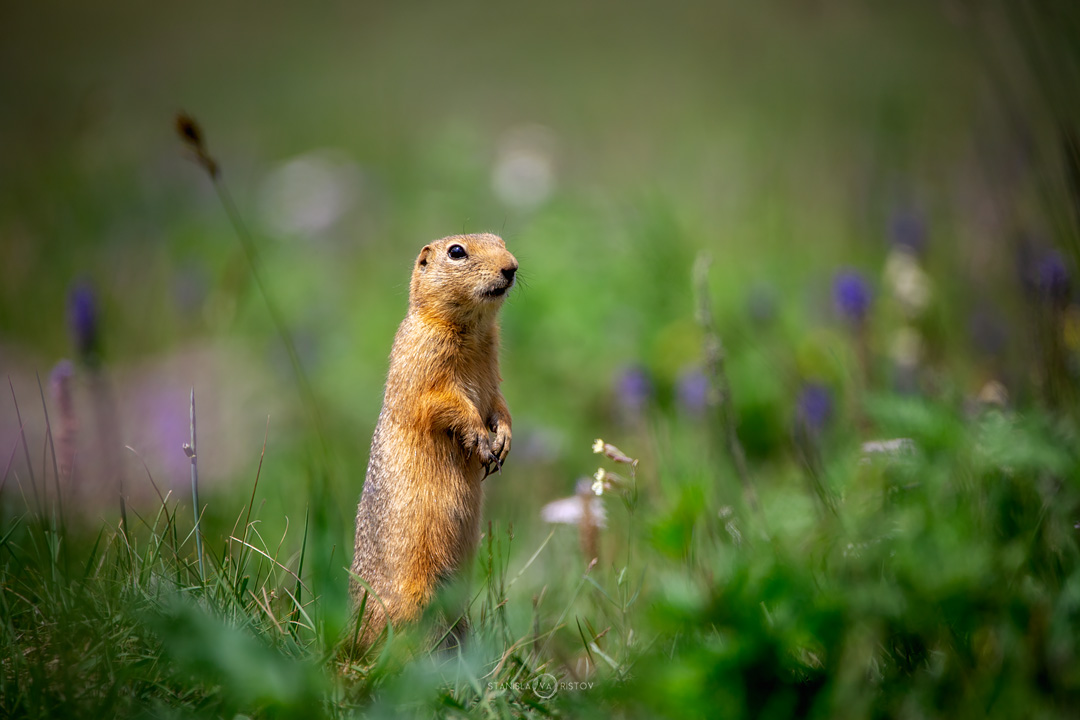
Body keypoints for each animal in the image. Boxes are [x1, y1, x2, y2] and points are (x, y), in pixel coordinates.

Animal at [349, 232, 518, 647]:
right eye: (456, 252)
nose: (512, 267)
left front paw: (503, 439)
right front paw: (481, 439)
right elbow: (441, 402)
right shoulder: (423, 364)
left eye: (501, 240)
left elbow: (499, 404)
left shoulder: (493, 378)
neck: (474, 332)